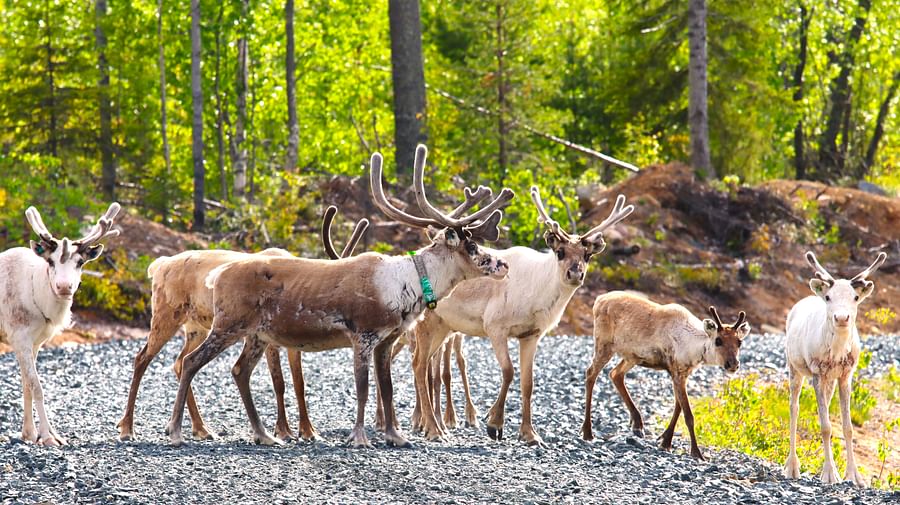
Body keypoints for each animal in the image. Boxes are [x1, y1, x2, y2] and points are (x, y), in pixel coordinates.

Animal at [580, 290, 748, 458]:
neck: (694, 346)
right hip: (604, 345)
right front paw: (696, 452)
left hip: (631, 357)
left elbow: (678, 407)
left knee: (615, 374)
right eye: (718, 340)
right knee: (591, 374)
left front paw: (665, 441)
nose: (733, 364)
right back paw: (588, 432)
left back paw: (637, 425)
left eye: (739, 342)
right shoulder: (677, 372)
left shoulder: (681, 373)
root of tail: (599, 300)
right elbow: (688, 414)